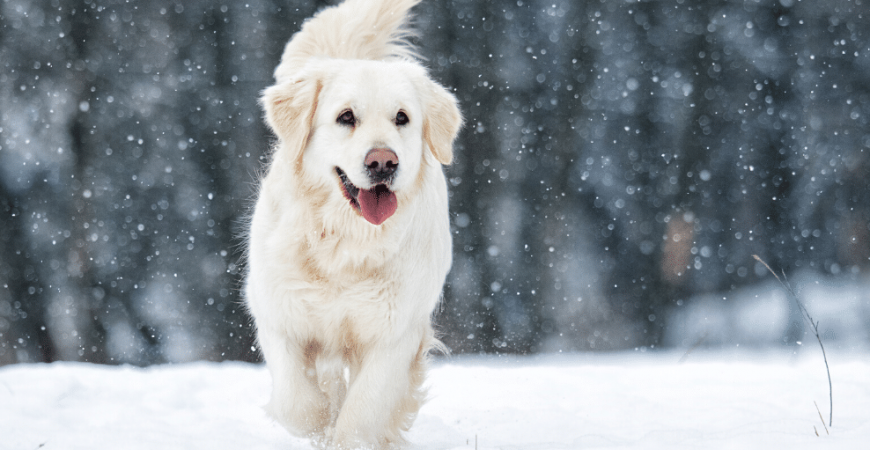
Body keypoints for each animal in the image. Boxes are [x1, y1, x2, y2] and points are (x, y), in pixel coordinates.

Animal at [244, 0, 464, 446]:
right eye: (346, 117)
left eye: (402, 118)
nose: (383, 162)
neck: (345, 241)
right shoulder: (279, 313)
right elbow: (299, 404)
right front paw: (316, 430)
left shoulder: (394, 334)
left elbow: (363, 413)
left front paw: (346, 436)